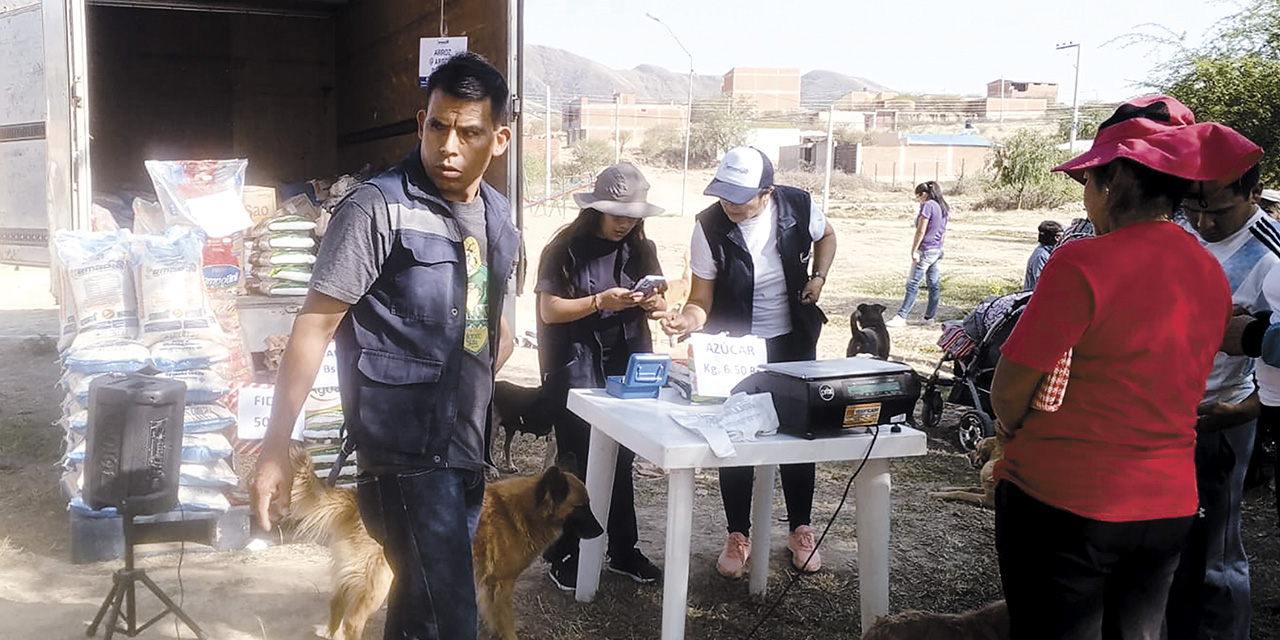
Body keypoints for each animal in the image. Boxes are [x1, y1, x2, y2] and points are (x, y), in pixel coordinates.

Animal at [288, 445, 601, 640]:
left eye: (589, 504)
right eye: (581, 507)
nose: (601, 532)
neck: (525, 511)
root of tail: (355, 499)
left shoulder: (487, 586)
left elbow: (492, 617)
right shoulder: (502, 584)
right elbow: (506, 620)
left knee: (336, 602)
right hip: (378, 584)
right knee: (353, 621)